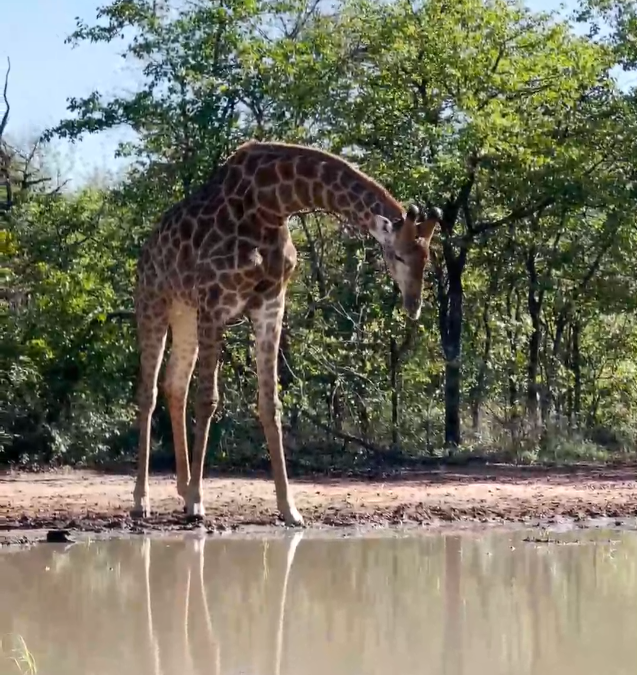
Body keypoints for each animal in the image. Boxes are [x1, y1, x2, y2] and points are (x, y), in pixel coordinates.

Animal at [133, 140, 442, 524]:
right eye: (398, 255)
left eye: (427, 258)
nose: (413, 306)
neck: (271, 206)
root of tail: (147, 250)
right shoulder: (215, 303)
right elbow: (208, 400)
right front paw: (198, 503)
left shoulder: (270, 305)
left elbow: (270, 403)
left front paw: (289, 508)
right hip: (154, 304)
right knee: (148, 392)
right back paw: (143, 500)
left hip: (185, 313)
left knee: (174, 384)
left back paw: (182, 487)